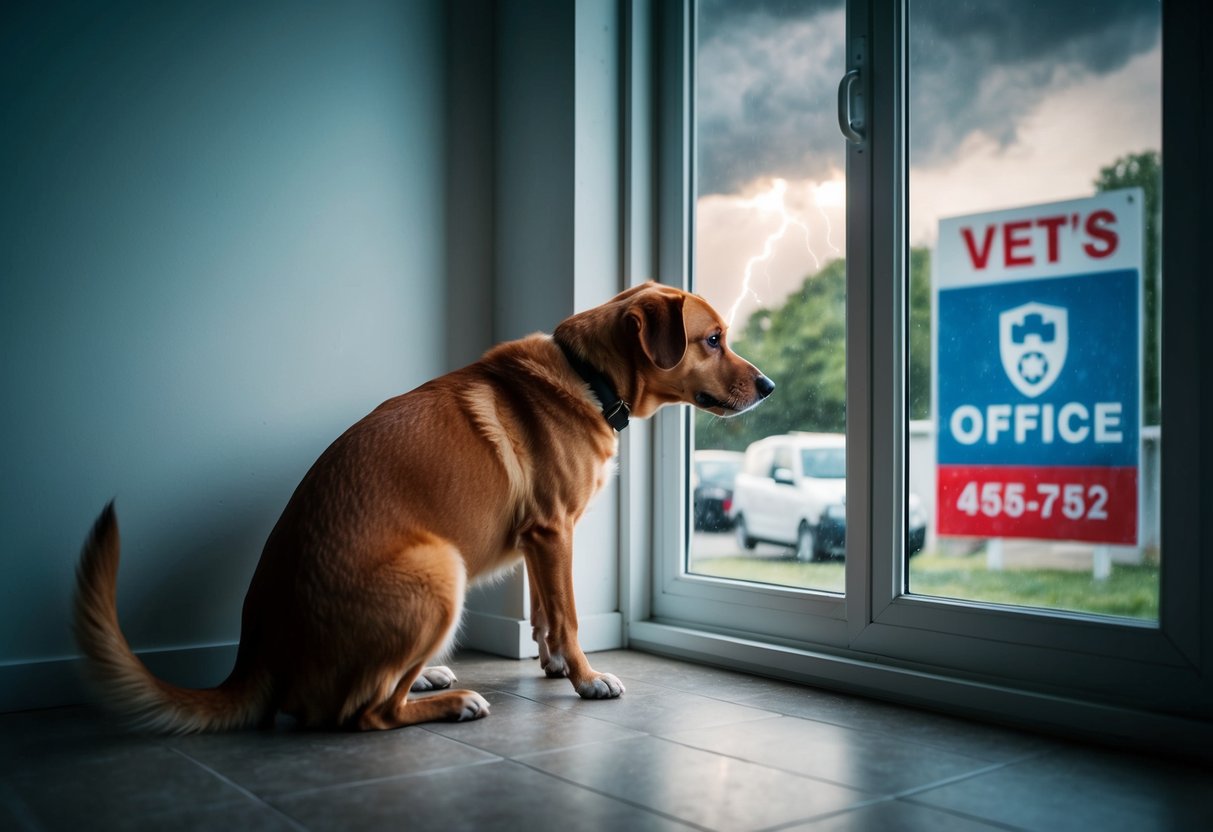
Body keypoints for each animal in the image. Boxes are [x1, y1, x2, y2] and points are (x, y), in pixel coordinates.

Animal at [73, 283, 776, 732]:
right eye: (713, 339)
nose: (769, 385)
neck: (588, 374)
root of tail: (258, 647)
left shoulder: (540, 540)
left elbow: (546, 614)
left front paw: (552, 665)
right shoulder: (554, 533)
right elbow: (570, 617)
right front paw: (585, 679)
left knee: (369, 689)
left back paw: (431, 678)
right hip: (443, 570)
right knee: (360, 714)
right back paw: (452, 701)